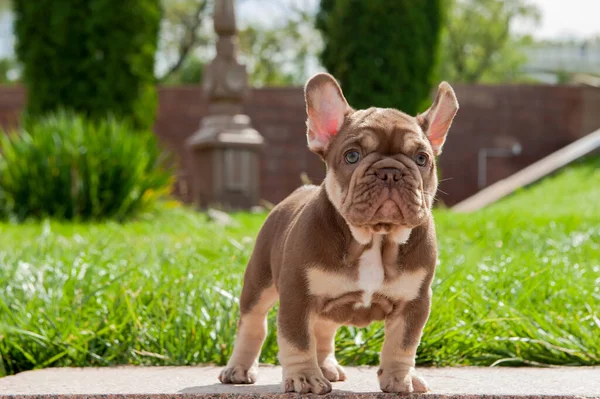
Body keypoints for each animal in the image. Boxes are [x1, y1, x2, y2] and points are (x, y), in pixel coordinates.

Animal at [220, 73, 460, 396]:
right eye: (352, 156)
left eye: (421, 159)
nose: (390, 171)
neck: (375, 239)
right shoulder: (297, 296)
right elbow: (297, 340)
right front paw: (304, 378)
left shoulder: (414, 302)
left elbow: (403, 343)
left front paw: (401, 378)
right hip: (259, 283)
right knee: (253, 324)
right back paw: (240, 369)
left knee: (323, 329)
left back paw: (327, 367)